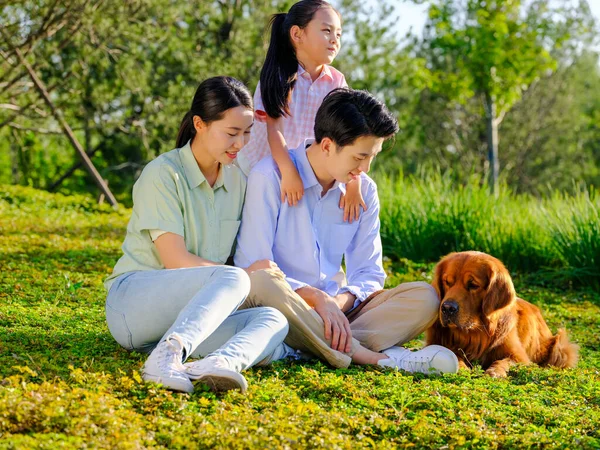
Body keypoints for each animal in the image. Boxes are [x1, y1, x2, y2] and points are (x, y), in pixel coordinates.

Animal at [424, 251, 580, 378]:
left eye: (473, 285)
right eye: (447, 282)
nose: (447, 308)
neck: (474, 334)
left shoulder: (519, 356)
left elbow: (504, 361)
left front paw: (495, 371)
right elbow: (454, 353)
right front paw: (460, 366)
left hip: (559, 349)